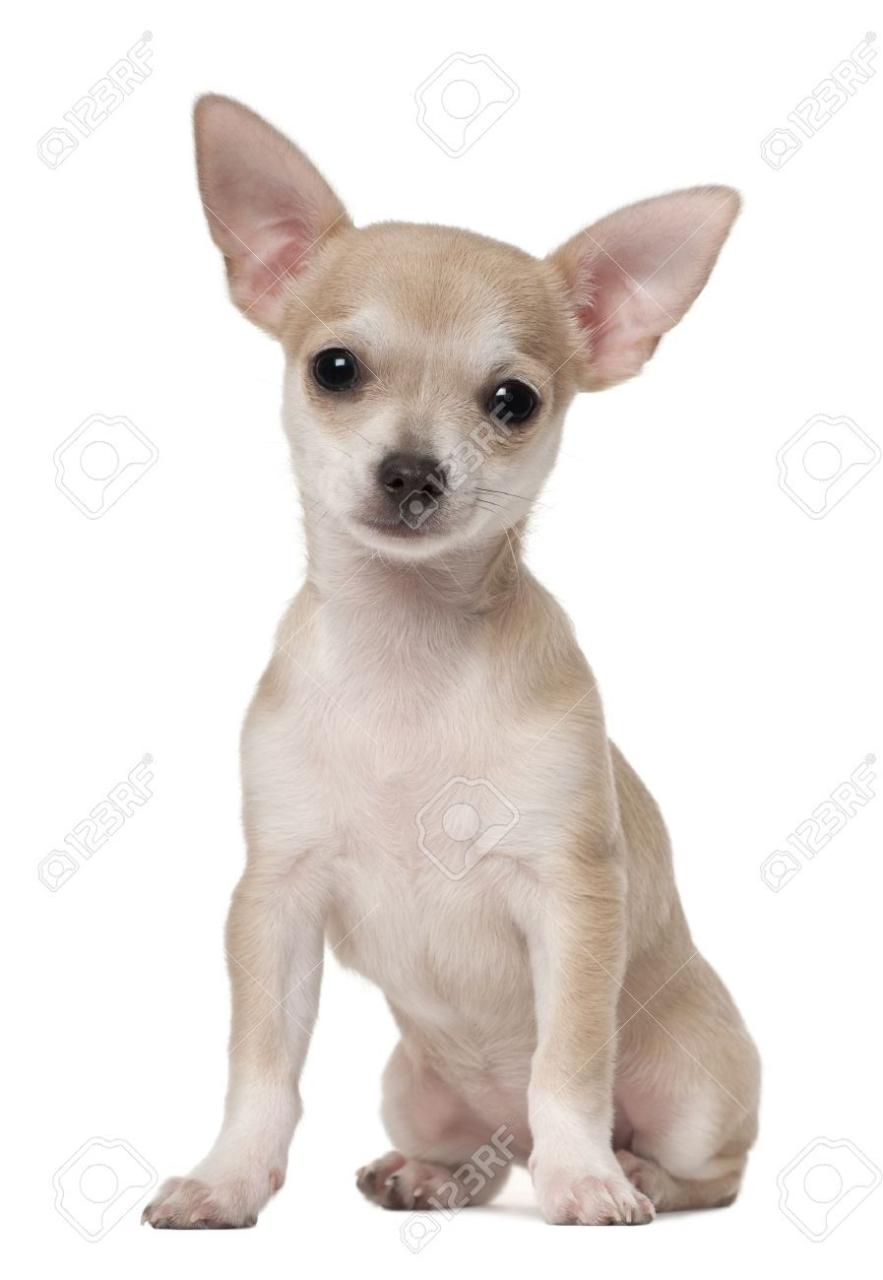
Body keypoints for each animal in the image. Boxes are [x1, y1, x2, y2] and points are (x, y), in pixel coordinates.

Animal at [144, 94, 757, 1223]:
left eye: (513, 401)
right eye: (334, 368)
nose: (413, 472)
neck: (408, 653)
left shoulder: (570, 899)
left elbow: (569, 1062)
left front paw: (585, 1179)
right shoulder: (275, 900)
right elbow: (261, 1066)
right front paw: (227, 1177)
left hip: (700, 1084)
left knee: (702, 1164)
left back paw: (631, 1169)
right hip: (413, 1086)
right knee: (480, 1155)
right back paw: (428, 1172)